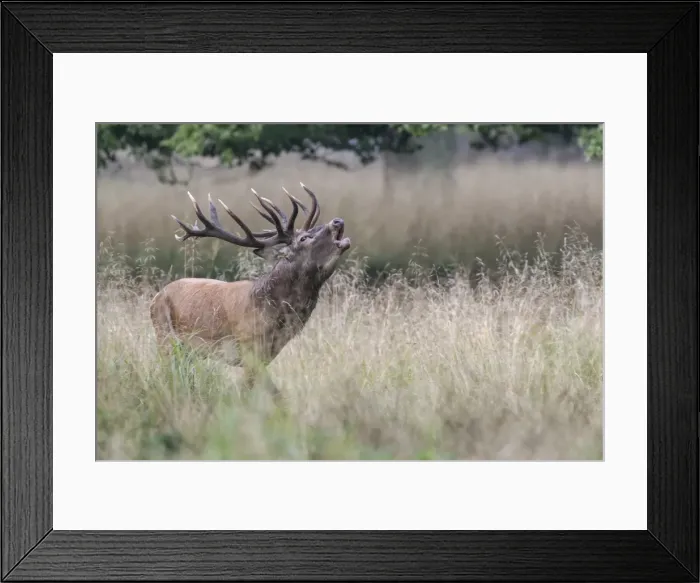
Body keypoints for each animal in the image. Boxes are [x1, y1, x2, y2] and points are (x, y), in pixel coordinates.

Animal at [149, 183, 351, 402]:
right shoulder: (248, 349)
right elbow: (258, 393)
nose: (337, 221)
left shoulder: (268, 353)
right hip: (165, 336)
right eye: (304, 238)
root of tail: (155, 298)